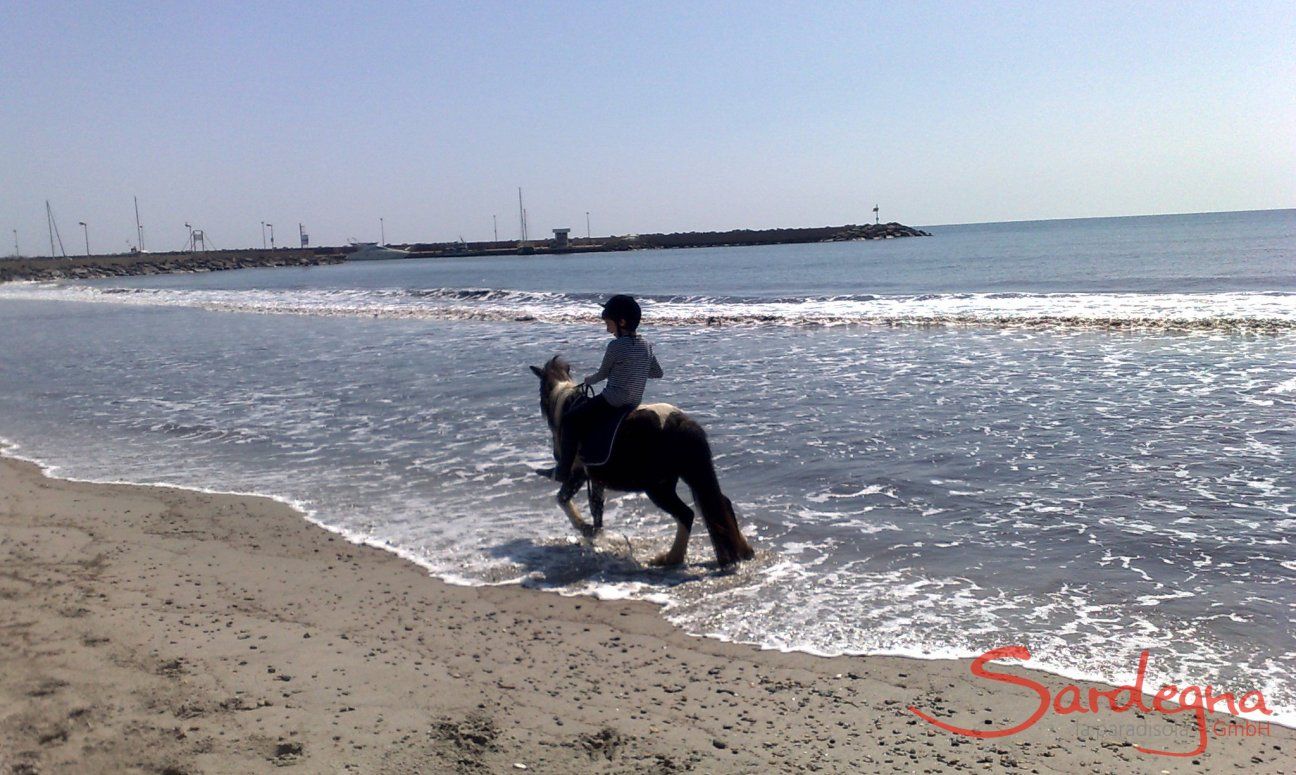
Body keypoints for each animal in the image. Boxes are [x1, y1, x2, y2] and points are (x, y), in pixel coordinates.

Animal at [528, 360, 756, 570]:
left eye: (540, 390)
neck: (568, 406)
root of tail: (681, 422)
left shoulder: (578, 474)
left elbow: (563, 499)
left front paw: (585, 529)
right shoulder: (596, 478)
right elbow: (596, 509)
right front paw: (596, 535)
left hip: (657, 487)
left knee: (686, 514)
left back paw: (670, 558)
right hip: (687, 476)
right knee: (720, 503)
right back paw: (743, 550)